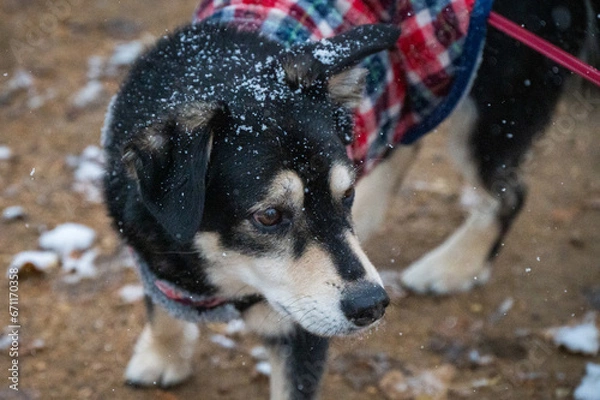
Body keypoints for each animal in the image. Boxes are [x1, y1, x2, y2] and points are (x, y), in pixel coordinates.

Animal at [103, 0, 596, 396]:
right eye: (269, 216)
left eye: (346, 194)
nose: (371, 306)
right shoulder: (150, 251)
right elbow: (162, 309)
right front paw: (161, 356)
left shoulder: (299, 330)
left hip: (488, 110)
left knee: (508, 193)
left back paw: (452, 265)